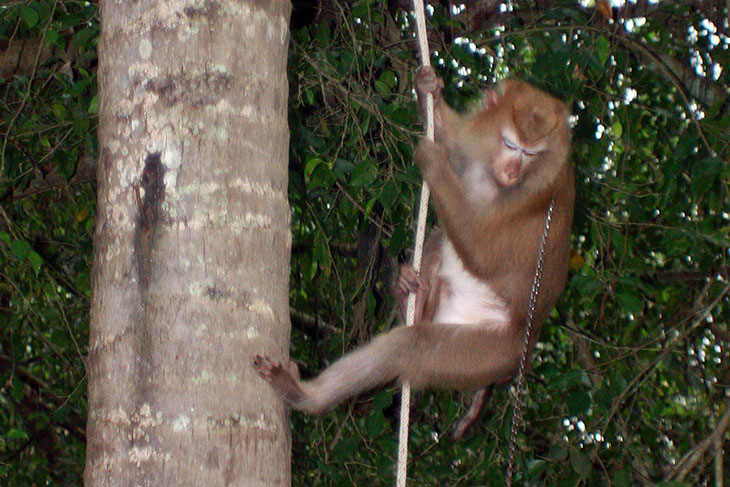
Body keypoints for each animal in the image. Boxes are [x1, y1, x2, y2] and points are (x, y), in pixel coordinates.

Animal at [253, 65, 572, 434]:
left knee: (413, 345)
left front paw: (433, 162)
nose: (511, 172)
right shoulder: (479, 141)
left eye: (531, 155)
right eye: (511, 145)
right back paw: (410, 297)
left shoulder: (537, 192)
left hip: (487, 350)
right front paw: (428, 89)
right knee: (436, 242)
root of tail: (525, 345)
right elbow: (455, 139)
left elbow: (484, 256)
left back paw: (305, 395)